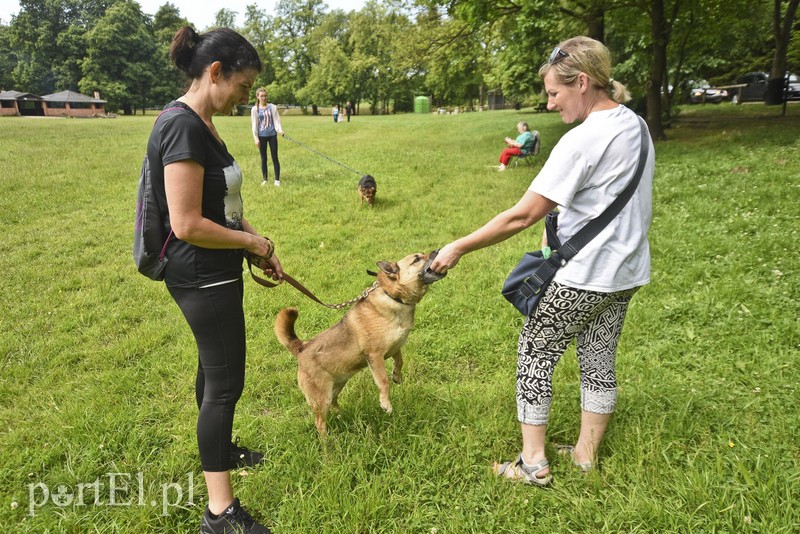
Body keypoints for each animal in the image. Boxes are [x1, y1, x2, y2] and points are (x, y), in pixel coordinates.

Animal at [276, 252, 444, 436]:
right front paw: (385, 403)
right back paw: (327, 441)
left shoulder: (395, 348)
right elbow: (383, 381)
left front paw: (396, 376)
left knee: (334, 403)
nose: (437, 251)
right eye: (416, 259)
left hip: (336, 387)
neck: (394, 298)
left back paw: (342, 416)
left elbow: (399, 362)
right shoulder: (375, 356)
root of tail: (301, 347)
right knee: (320, 422)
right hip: (322, 398)